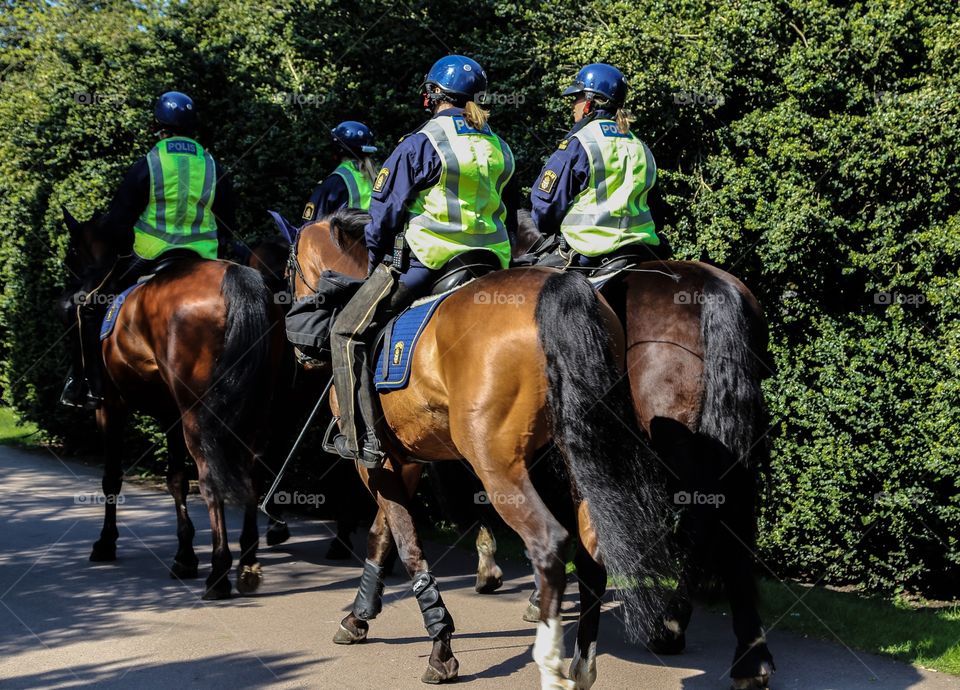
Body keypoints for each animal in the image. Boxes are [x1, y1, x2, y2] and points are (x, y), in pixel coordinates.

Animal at [59, 208, 284, 596]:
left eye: (71, 254)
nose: (70, 294)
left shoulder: (111, 407)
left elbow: (112, 476)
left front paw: (106, 542)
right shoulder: (170, 414)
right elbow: (176, 477)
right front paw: (185, 554)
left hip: (199, 415)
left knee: (210, 479)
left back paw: (220, 572)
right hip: (255, 411)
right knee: (251, 472)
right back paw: (247, 563)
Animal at [292, 208, 676, 684]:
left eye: (290, 268)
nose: (300, 354)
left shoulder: (374, 462)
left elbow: (407, 542)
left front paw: (440, 644)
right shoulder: (404, 459)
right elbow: (384, 535)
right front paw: (360, 616)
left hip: (498, 465)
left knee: (550, 544)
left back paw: (550, 663)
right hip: (581, 454)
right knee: (591, 551)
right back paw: (582, 663)